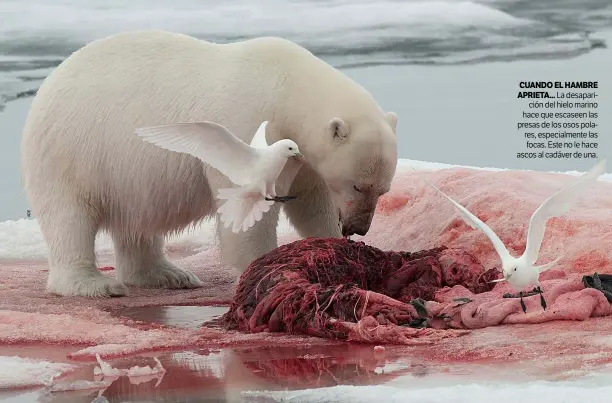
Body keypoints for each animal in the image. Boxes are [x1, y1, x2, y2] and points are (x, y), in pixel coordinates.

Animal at [20, 30, 396, 296]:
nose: (359, 227)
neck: (287, 88)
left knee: (137, 219)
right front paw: (263, 267)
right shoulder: (250, 123)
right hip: (73, 150)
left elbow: (312, 202)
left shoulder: (303, 157)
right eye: (358, 184)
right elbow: (248, 206)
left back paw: (167, 274)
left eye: (382, 190)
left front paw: (334, 244)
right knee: (69, 217)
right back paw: (94, 284)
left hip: (126, 173)